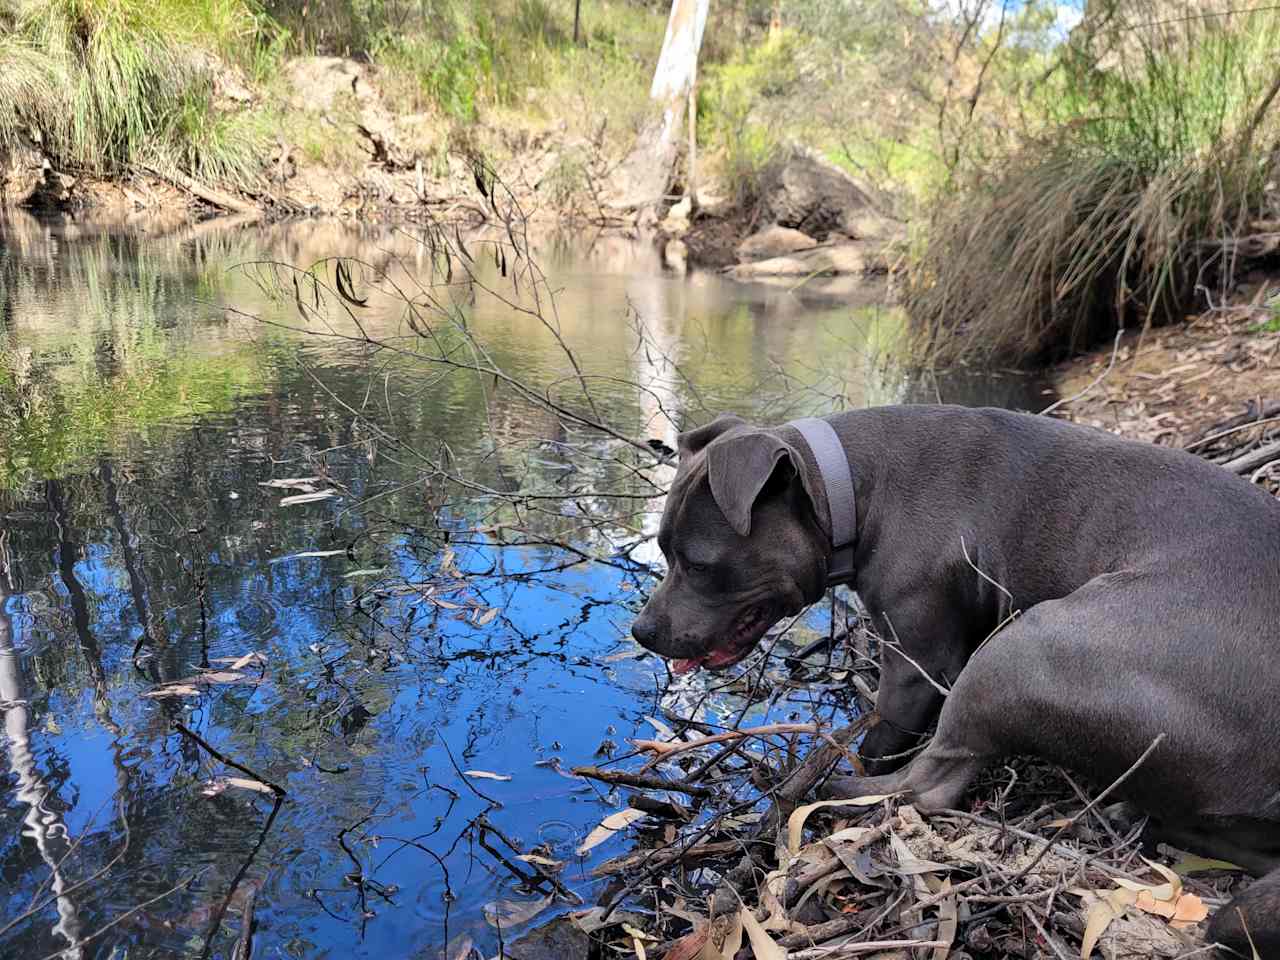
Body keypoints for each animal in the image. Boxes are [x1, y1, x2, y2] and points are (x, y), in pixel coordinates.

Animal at [629, 404, 1280, 957]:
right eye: (663, 547)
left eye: (699, 564)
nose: (642, 630)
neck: (851, 487)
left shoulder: (917, 661)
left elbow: (884, 733)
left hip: (1022, 650)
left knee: (928, 785)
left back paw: (824, 791)